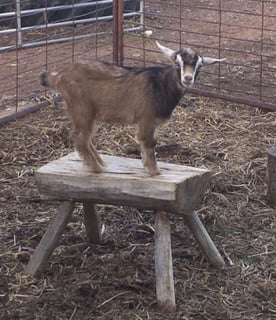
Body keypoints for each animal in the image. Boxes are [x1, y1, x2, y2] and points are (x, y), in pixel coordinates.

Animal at [40, 41, 225, 176]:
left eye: (199, 66)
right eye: (176, 63)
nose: (187, 78)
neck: (161, 85)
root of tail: (59, 76)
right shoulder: (146, 118)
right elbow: (149, 142)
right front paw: (154, 171)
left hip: (86, 112)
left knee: (86, 137)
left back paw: (100, 162)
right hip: (81, 107)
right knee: (79, 137)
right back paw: (96, 168)